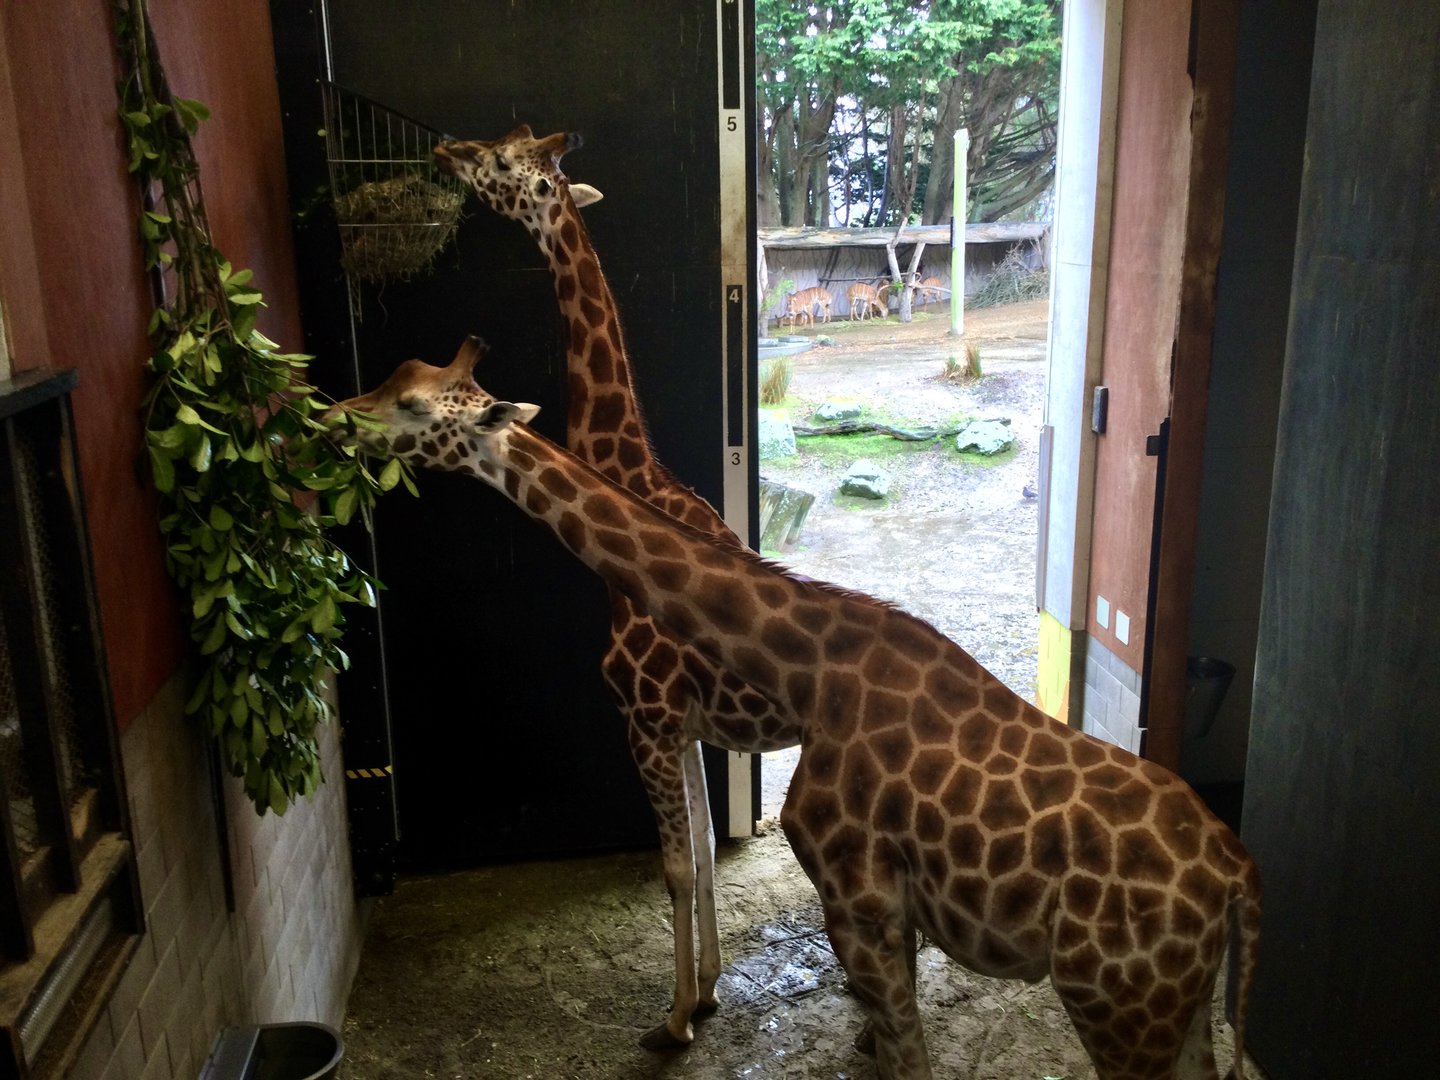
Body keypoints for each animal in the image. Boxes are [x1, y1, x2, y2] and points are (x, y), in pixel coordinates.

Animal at [331, 341, 1263, 1080]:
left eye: (412, 405)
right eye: (393, 376)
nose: (333, 416)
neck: (808, 669)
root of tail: (1236, 878)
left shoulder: (858, 905)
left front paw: (678, 1021)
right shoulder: (886, 914)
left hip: (1121, 1008)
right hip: (1178, 1015)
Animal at [433, 126, 801, 1047]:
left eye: (502, 164)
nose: (448, 149)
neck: (632, 474)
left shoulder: (646, 713)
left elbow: (674, 865)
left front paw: (673, 1020)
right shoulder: (685, 726)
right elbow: (702, 849)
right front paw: (710, 989)